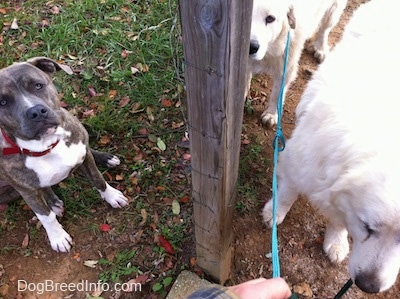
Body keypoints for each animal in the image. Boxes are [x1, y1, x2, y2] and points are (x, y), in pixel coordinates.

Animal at [0, 56, 128, 253]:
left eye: (38, 85)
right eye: (3, 102)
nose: (35, 112)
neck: (47, 145)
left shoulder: (84, 156)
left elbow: (98, 179)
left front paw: (112, 196)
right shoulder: (27, 192)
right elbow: (46, 217)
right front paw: (58, 237)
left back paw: (107, 158)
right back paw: (53, 202)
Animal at [264, 0, 400, 296]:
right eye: (368, 227)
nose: (368, 286)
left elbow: (339, 219)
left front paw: (336, 241)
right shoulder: (297, 164)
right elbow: (288, 194)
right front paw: (274, 213)